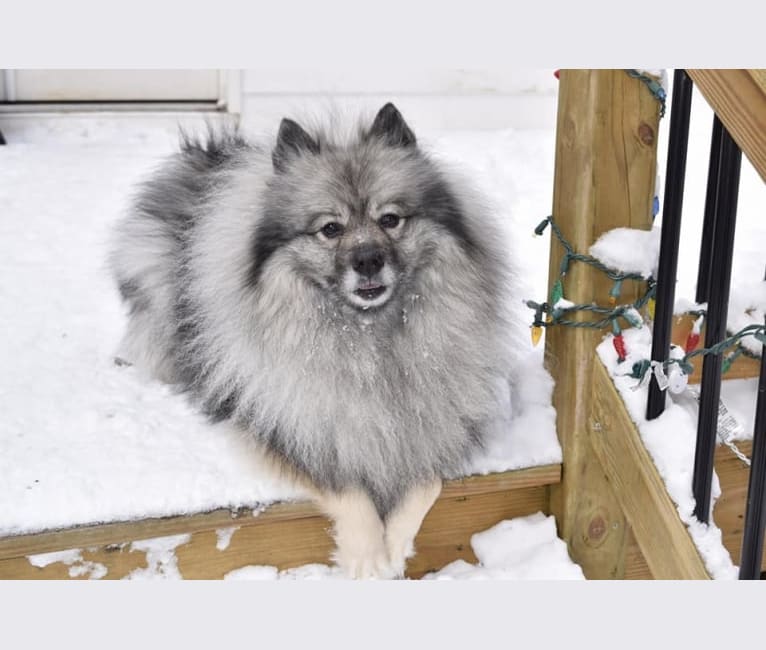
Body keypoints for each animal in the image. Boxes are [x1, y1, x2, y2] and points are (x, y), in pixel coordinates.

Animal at [111, 102, 520, 576]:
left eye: (390, 220)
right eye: (330, 229)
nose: (368, 260)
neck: (373, 342)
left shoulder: (438, 421)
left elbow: (426, 481)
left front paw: (397, 545)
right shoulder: (289, 426)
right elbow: (344, 484)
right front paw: (369, 557)